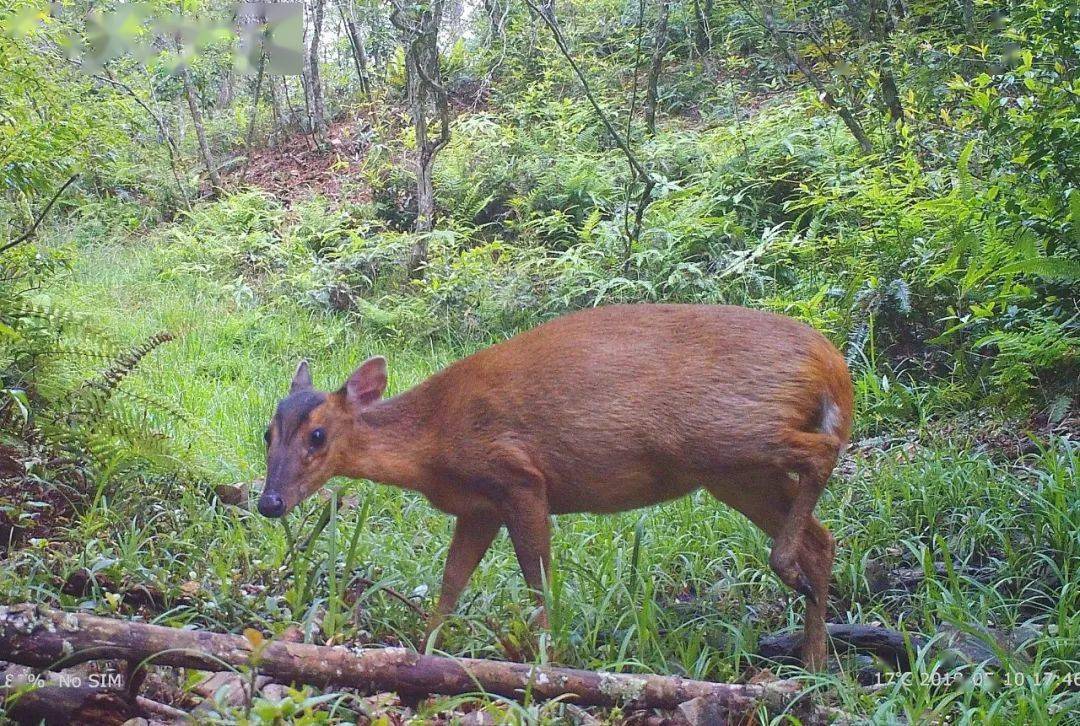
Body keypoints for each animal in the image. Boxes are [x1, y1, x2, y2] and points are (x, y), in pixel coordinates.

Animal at [259, 302, 851, 669]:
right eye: (267, 432)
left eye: (317, 435)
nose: (269, 502)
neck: (433, 440)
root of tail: (832, 365)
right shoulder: (479, 507)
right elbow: (450, 586)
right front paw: (423, 652)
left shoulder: (518, 475)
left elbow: (538, 582)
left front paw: (546, 663)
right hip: (735, 474)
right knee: (824, 541)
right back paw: (817, 664)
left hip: (728, 435)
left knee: (824, 452)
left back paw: (787, 574)